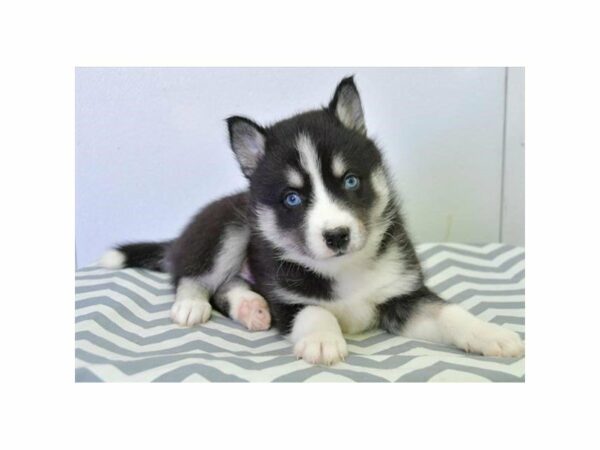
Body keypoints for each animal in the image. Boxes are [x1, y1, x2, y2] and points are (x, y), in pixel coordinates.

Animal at [101, 76, 524, 366]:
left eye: (350, 180)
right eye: (292, 198)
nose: (337, 236)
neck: (345, 268)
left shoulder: (402, 296)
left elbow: (448, 312)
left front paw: (490, 333)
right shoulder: (284, 298)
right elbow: (313, 309)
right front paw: (322, 340)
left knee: (228, 285)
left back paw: (250, 309)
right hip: (229, 228)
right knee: (194, 276)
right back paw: (194, 304)